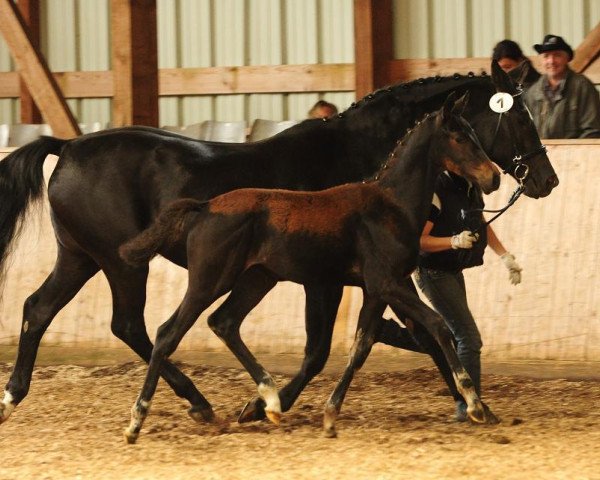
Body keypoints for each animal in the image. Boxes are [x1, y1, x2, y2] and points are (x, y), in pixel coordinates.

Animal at [119, 94, 500, 442]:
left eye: (474, 133)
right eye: (459, 137)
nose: (493, 178)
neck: (390, 204)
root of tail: (205, 206)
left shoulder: (377, 290)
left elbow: (361, 346)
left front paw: (330, 416)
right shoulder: (388, 283)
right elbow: (438, 326)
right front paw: (474, 403)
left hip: (257, 278)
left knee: (223, 322)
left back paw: (270, 401)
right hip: (209, 281)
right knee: (167, 334)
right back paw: (138, 422)